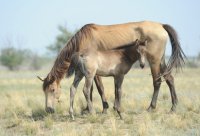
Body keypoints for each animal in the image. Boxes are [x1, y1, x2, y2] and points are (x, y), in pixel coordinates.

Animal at [38, 21, 186, 115]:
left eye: (52, 89)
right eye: (43, 90)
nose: (48, 110)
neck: (84, 38)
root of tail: (161, 25)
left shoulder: (95, 72)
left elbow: (97, 88)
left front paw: (103, 108)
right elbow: (98, 89)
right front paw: (93, 108)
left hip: (154, 62)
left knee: (157, 82)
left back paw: (151, 108)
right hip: (161, 61)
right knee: (169, 78)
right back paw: (173, 107)